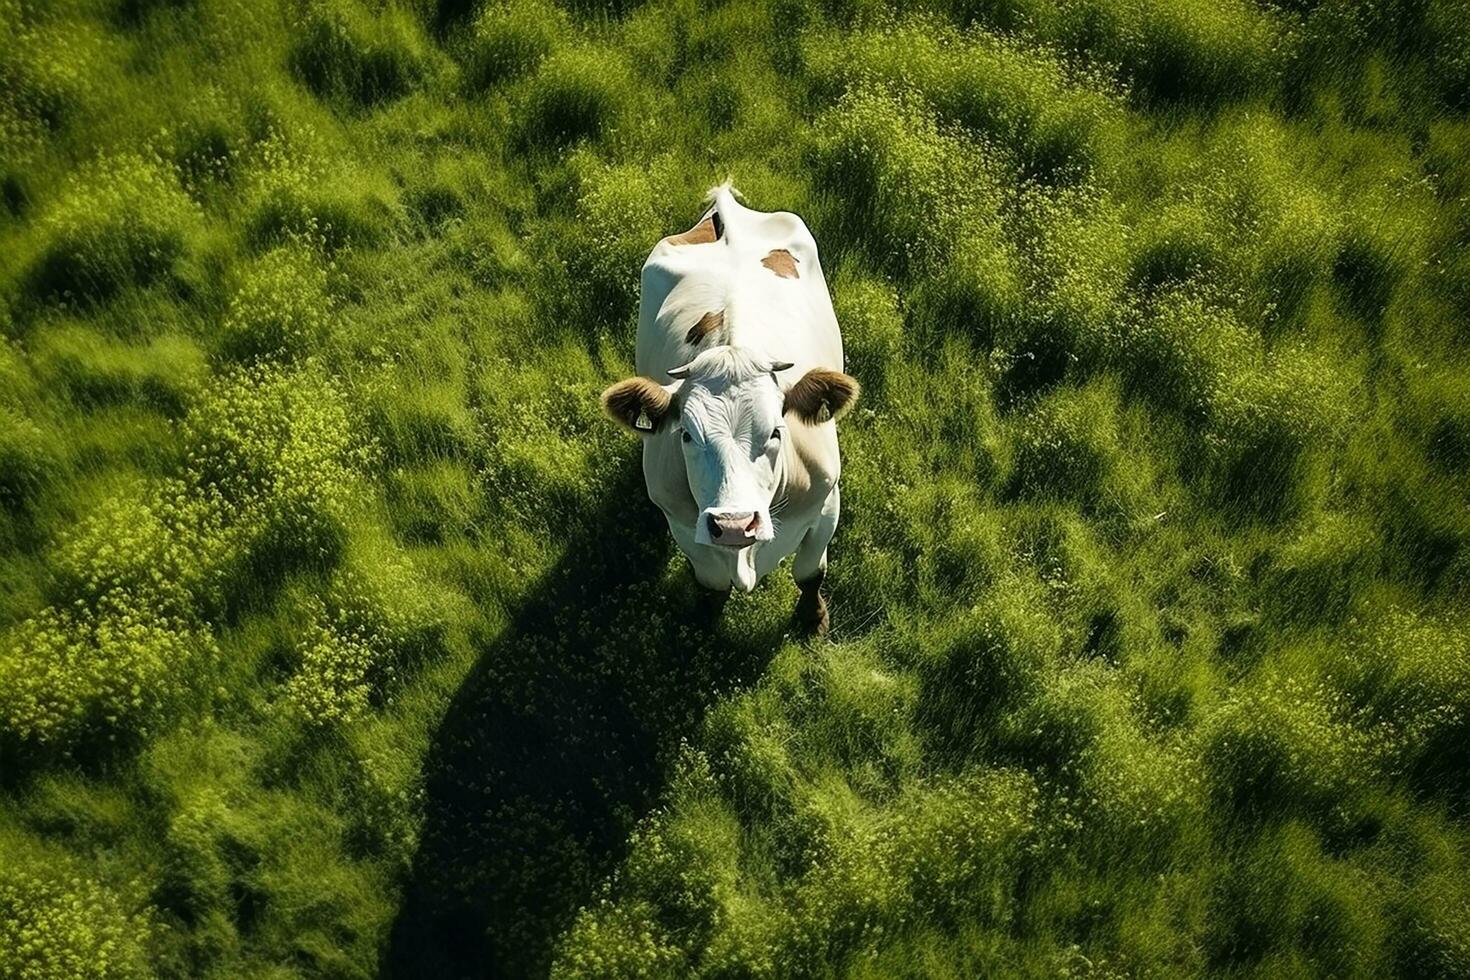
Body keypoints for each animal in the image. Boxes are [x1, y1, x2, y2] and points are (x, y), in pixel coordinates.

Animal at [599, 181, 858, 631]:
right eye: (686, 435)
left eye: (776, 431)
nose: (734, 525)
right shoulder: (685, 526)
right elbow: (712, 586)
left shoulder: (827, 504)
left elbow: (810, 573)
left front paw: (813, 619)